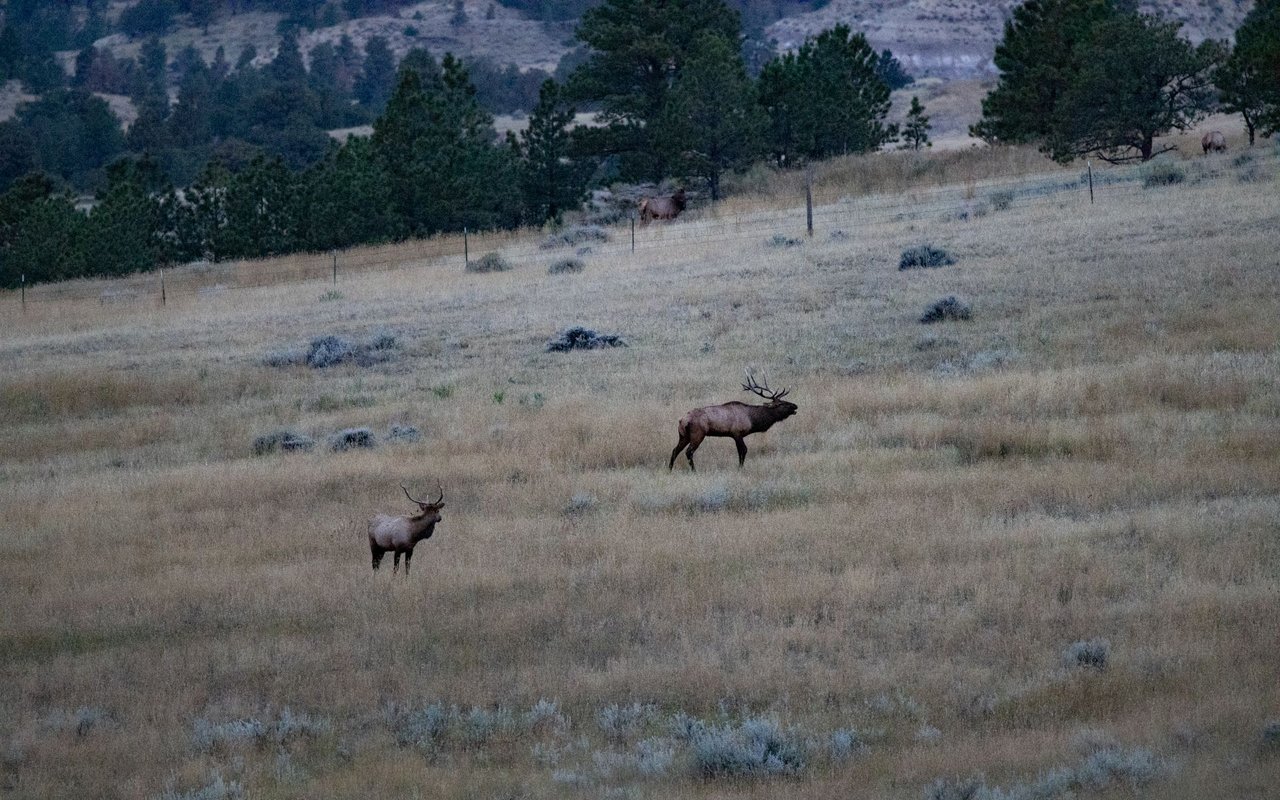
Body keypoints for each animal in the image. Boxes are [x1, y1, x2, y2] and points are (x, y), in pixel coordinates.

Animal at [668, 370, 797, 472]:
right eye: (781, 404)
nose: (795, 406)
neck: (752, 420)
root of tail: (682, 420)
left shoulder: (734, 435)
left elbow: (739, 451)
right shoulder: (737, 432)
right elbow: (744, 450)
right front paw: (740, 468)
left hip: (683, 435)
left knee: (675, 450)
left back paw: (669, 469)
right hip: (698, 434)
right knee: (688, 452)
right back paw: (694, 470)